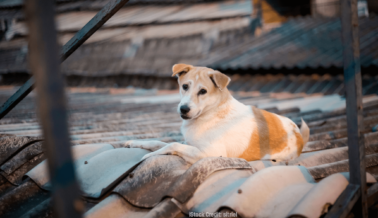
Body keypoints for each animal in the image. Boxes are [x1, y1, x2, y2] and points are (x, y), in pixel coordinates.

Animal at [125, 63, 308, 164]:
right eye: (185, 86)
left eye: (203, 91)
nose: (183, 109)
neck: (211, 113)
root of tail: (299, 134)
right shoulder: (189, 142)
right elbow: (158, 142)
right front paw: (134, 143)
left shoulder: (211, 153)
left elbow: (172, 145)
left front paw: (148, 156)